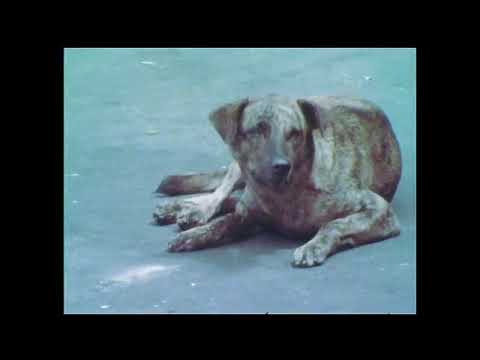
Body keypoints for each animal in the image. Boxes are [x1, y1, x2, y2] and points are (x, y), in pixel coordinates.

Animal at [153, 93, 402, 268]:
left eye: (295, 133)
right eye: (257, 130)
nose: (282, 166)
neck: (283, 194)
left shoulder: (378, 209)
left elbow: (334, 224)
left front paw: (314, 246)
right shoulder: (247, 215)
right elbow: (220, 224)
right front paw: (195, 234)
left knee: (231, 197)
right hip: (237, 167)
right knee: (221, 193)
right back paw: (190, 210)